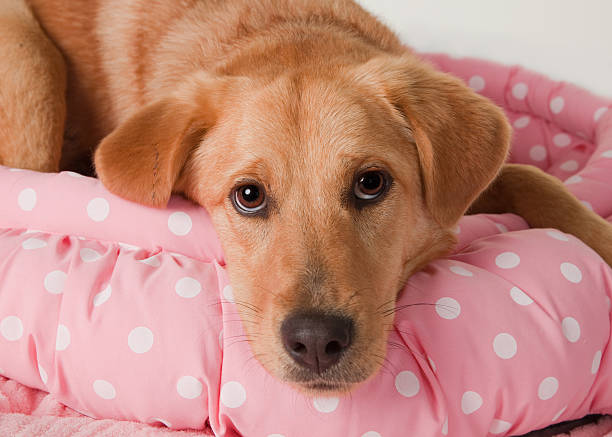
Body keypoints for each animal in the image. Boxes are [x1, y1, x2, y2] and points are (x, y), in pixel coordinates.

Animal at [1, 0, 612, 396]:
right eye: (248, 196)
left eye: (371, 183)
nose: (317, 342)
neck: (285, 30)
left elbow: (530, 176)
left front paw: (598, 236)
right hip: (30, 60)